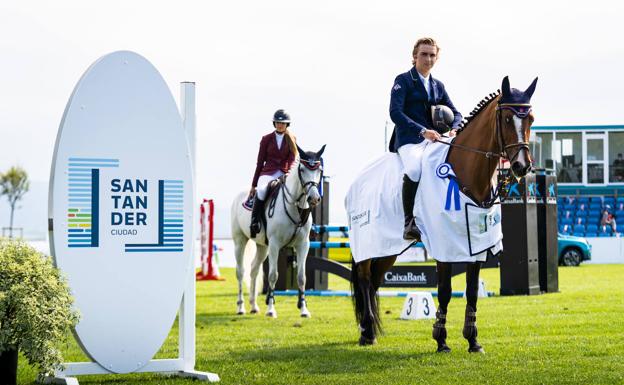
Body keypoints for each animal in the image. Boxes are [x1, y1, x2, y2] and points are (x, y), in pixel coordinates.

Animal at [230, 145, 326, 318]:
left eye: (319, 170)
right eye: (302, 169)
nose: (314, 198)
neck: (295, 206)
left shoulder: (303, 245)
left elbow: (301, 277)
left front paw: (304, 309)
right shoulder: (275, 245)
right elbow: (273, 275)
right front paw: (271, 309)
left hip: (263, 247)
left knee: (254, 270)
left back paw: (254, 306)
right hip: (240, 241)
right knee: (240, 272)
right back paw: (241, 307)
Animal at [352, 76, 536, 350]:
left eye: (531, 119)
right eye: (505, 119)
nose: (521, 166)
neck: (466, 173)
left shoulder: (477, 245)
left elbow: (471, 291)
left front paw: (473, 340)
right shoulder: (443, 244)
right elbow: (445, 291)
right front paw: (441, 339)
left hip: (388, 248)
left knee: (374, 280)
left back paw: (370, 330)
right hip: (366, 245)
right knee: (365, 280)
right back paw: (365, 331)